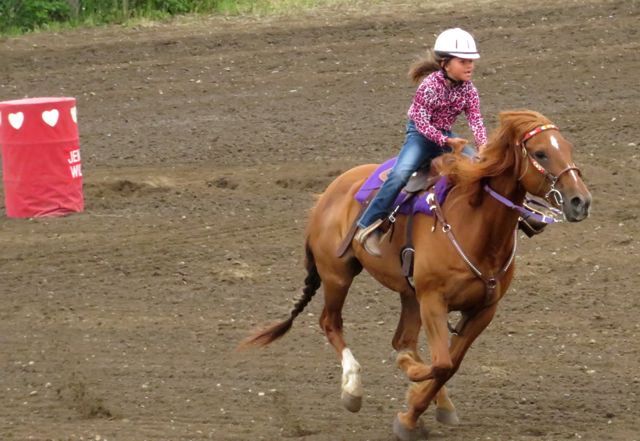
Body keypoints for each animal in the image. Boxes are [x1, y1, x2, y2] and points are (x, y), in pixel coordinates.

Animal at [239, 110, 592, 440]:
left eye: (568, 148)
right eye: (541, 153)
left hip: (408, 293)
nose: (581, 201)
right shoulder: (433, 299)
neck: (475, 226)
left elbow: (449, 364)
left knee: (403, 340)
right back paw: (353, 388)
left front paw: (416, 408)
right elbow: (440, 364)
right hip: (338, 274)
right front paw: (410, 390)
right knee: (331, 322)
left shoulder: (484, 310)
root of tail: (328, 193)